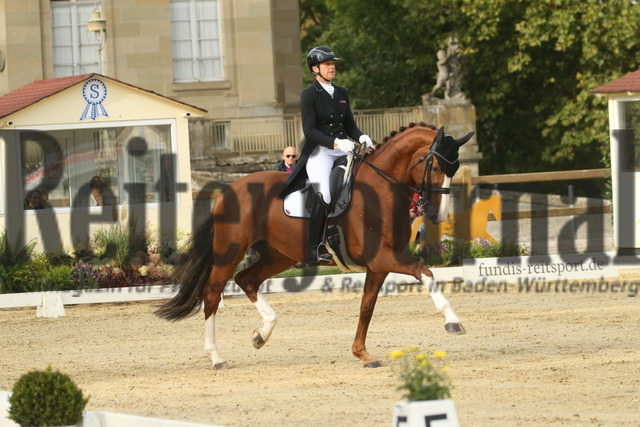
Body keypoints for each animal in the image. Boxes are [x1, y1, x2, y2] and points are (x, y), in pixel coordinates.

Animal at [156, 123, 470, 368]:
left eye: (455, 169)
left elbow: (366, 307)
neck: (381, 191)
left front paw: (362, 354)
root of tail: (227, 190)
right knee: (212, 295)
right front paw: (452, 321)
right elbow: (424, 271)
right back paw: (216, 357)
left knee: (246, 280)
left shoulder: (379, 264)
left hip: (279, 256)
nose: (438, 215)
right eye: (437, 166)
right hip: (231, 251)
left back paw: (262, 334)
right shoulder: (382, 257)